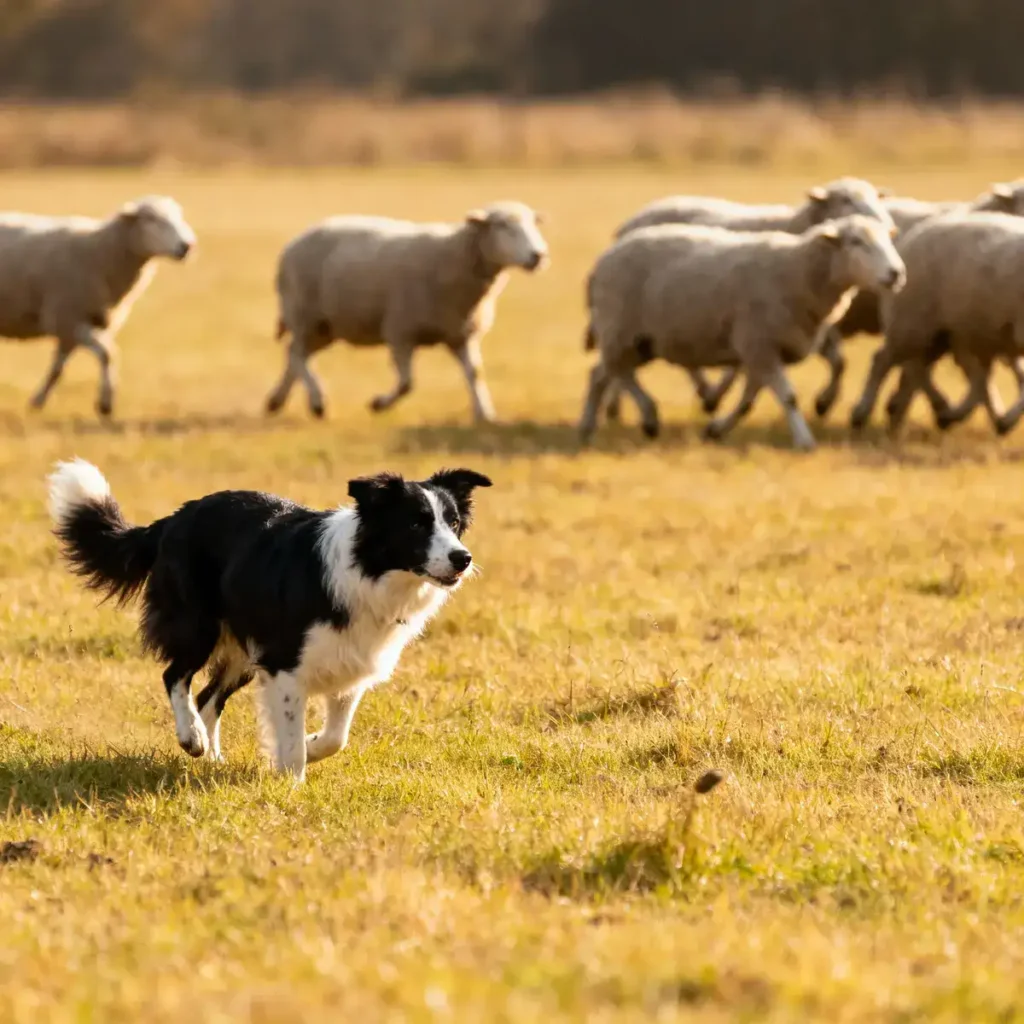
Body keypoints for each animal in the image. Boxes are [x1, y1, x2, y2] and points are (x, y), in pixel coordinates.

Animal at [0, 196, 194, 416]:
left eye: (179, 216)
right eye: (152, 219)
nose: (187, 246)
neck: (100, 251)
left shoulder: (74, 327)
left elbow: (57, 369)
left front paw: (38, 401)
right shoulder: (67, 318)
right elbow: (108, 354)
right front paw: (105, 403)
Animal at [265, 202, 548, 421]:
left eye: (534, 225)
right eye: (503, 226)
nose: (538, 255)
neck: (453, 255)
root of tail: (292, 244)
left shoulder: (461, 334)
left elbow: (475, 374)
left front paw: (484, 413)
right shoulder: (400, 331)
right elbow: (406, 384)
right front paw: (378, 404)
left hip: (327, 326)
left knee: (295, 354)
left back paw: (276, 401)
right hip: (304, 313)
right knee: (296, 353)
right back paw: (316, 401)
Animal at [579, 216, 905, 451]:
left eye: (887, 239)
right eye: (856, 241)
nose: (896, 274)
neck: (798, 270)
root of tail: (601, 262)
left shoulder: (762, 350)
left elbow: (748, 401)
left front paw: (716, 429)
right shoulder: (758, 343)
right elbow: (789, 397)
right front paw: (805, 441)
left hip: (641, 340)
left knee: (605, 374)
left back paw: (597, 425)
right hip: (621, 329)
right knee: (612, 372)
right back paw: (640, 417)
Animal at [851, 211, 1024, 436]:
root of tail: (915, 234)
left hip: (947, 333)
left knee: (928, 371)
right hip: (911, 323)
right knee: (883, 361)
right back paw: (863, 413)